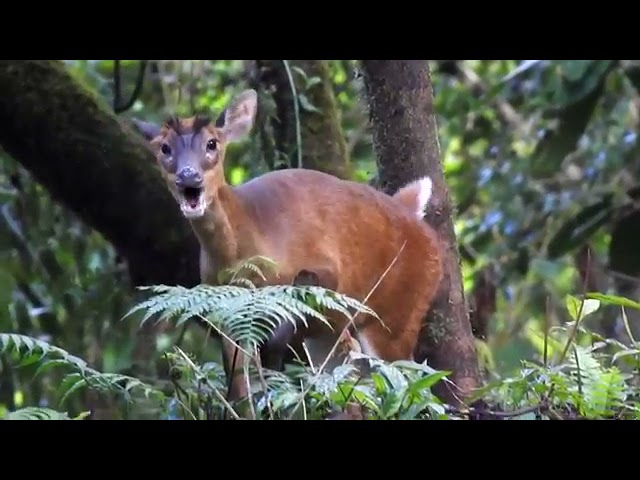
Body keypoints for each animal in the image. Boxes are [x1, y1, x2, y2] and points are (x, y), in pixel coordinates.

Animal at [132, 89, 442, 412]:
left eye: (212, 143)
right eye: (165, 148)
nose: (188, 177)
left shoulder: (322, 273)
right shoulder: (227, 311)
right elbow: (240, 384)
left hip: (399, 317)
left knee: (410, 384)